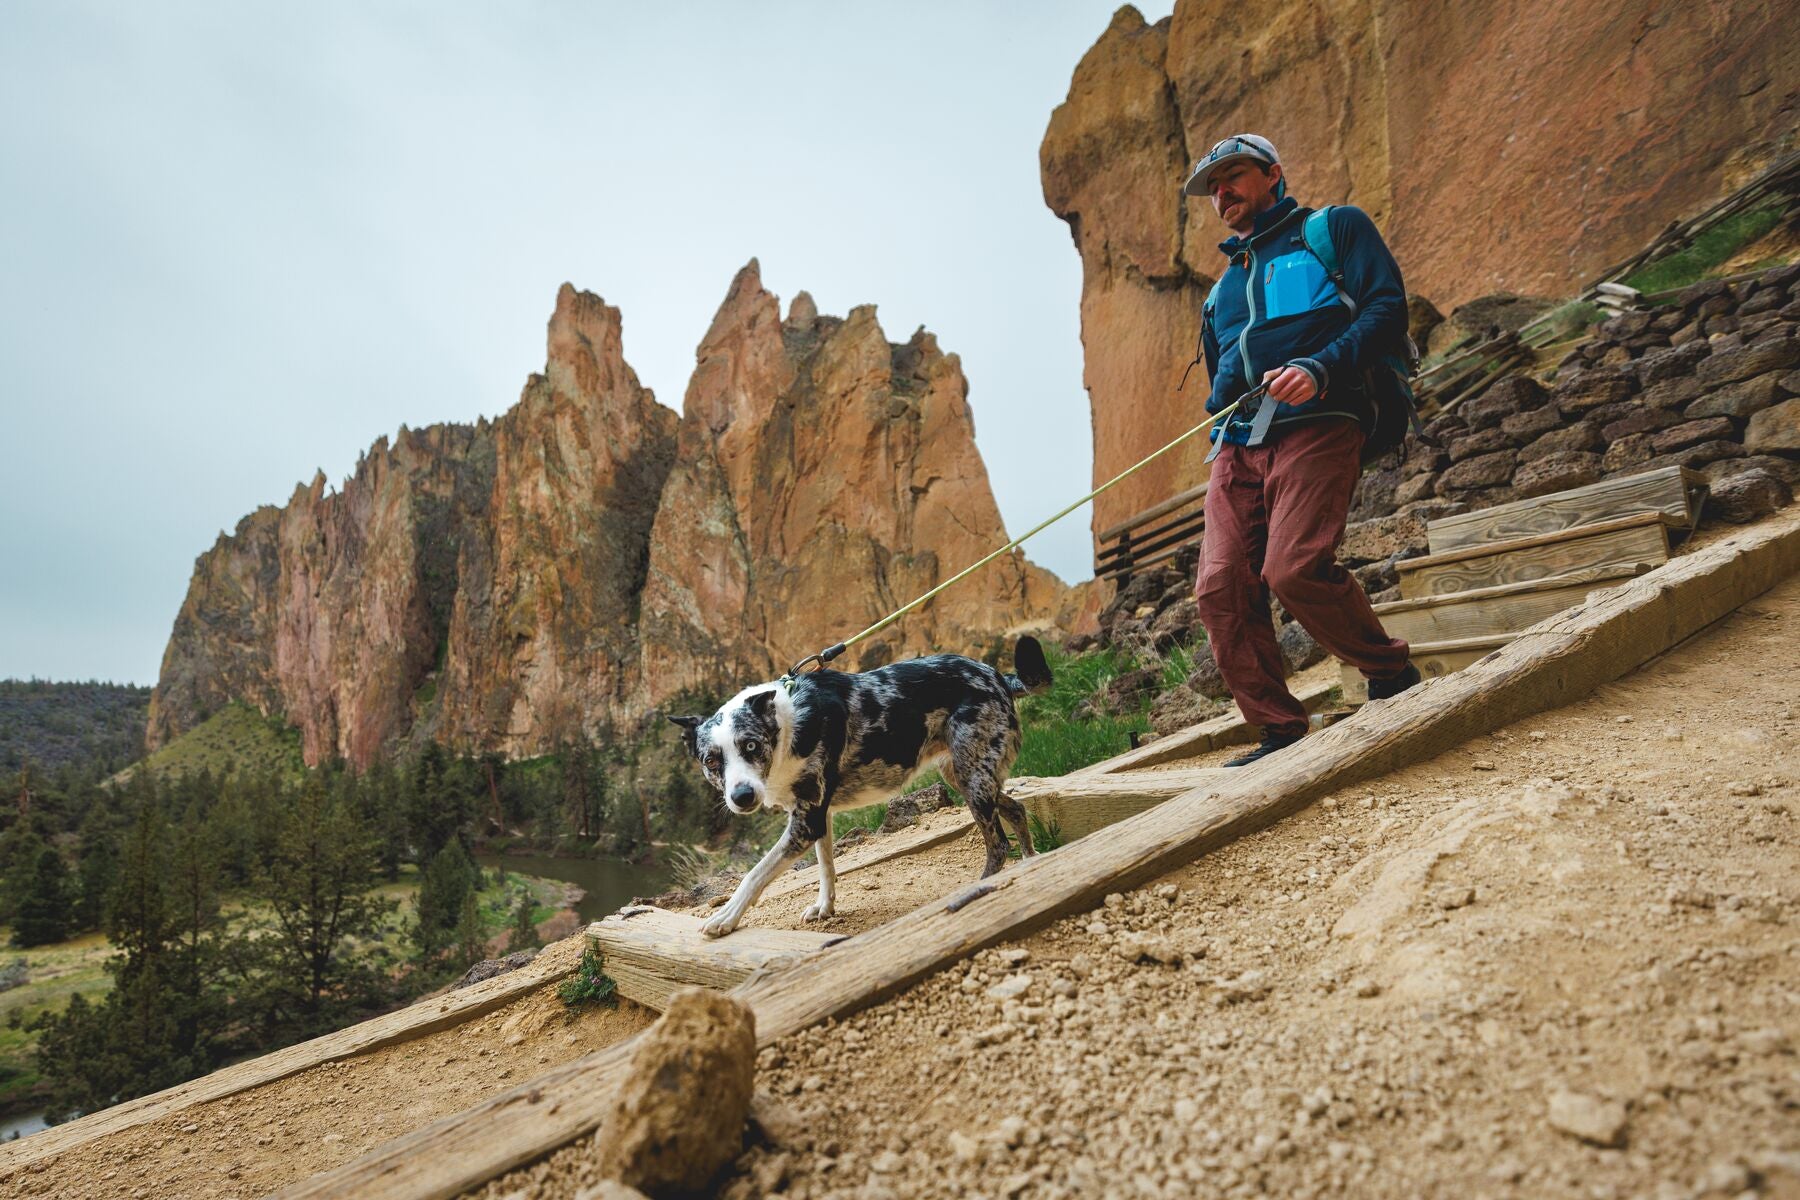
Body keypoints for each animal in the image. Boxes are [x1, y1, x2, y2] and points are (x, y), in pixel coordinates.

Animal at [669, 636, 1051, 935]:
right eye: (711, 761)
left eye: (750, 745)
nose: (742, 796)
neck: (786, 726)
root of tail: (997, 675)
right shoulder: (817, 816)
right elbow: (826, 866)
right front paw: (825, 907)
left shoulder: (806, 822)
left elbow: (755, 874)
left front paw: (726, 917)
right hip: (964, 775)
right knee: (1016, 808)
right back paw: (1031, 861)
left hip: (973, 776)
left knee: (998, 844)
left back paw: (983, 883)